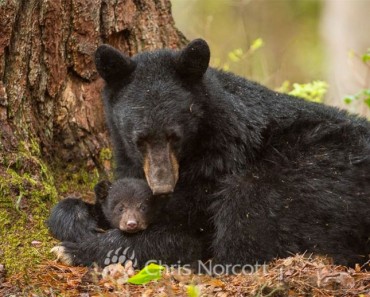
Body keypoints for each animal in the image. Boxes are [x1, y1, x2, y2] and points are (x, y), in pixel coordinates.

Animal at [51, 38, 370, 268]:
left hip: (314, 175)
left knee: (247, 210)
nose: (162, 186)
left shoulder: (219, 166)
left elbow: (186, 232)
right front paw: (77, 219)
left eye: (175, 136)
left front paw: (77, 249)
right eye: (139, 139)